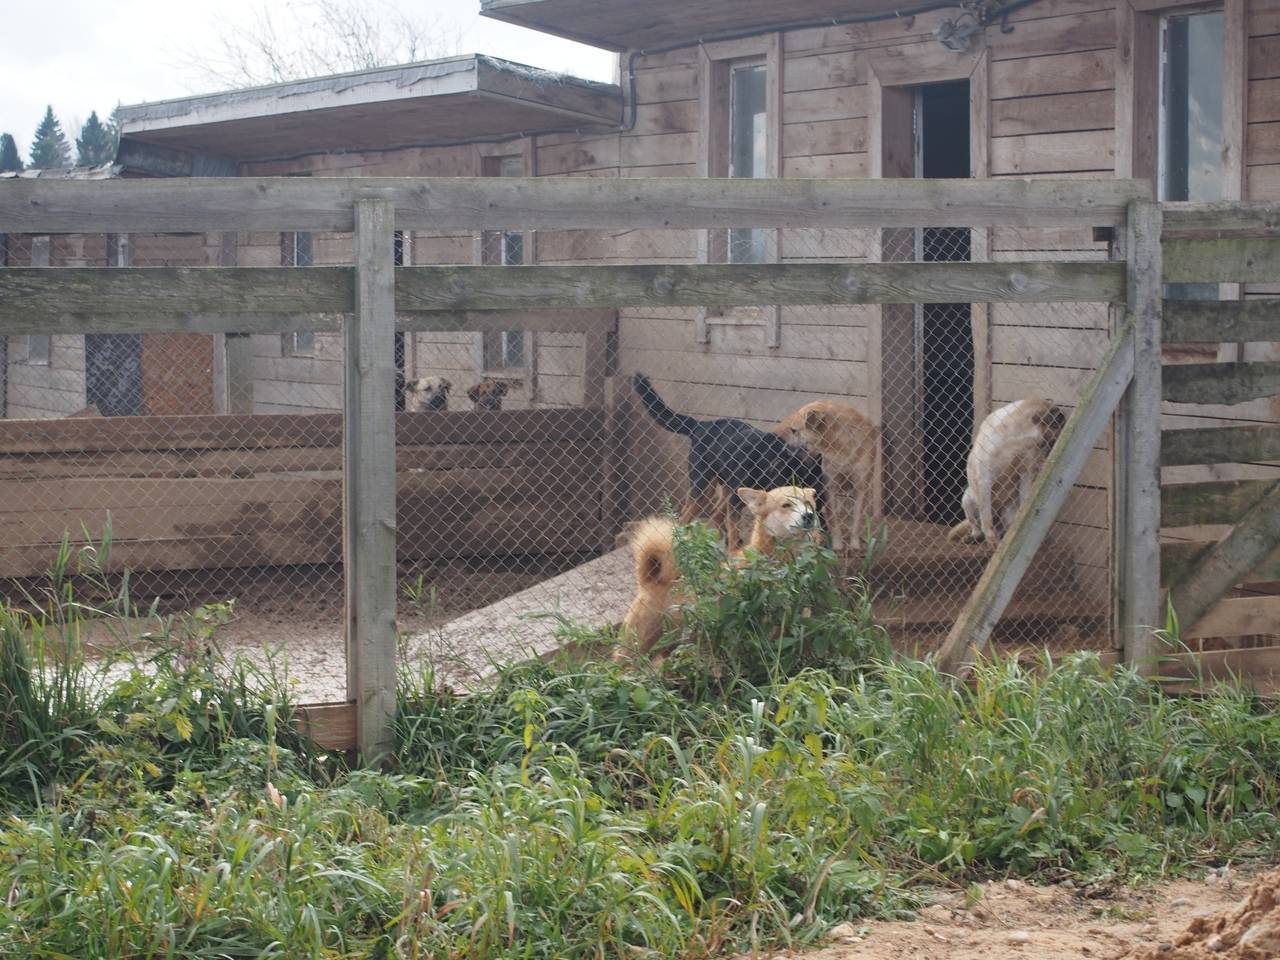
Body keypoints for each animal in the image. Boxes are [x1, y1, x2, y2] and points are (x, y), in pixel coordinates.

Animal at [632, 373, 829, 547]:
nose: (809, 515)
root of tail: (700, 425)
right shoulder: (738, 500)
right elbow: (735, 528)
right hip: (705, 488)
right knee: (686, 518)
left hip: (726, 489)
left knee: (716, 515)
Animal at [768, 401, 880, 555]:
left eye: (794, 430)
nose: (784, 449)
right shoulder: (830, 486)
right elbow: (834, 519)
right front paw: (837, 546)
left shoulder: (861, 487)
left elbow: (856, 521)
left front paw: (855, 546)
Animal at [947, 399, 1064, 547]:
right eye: (1054, 438)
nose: (1046, 458)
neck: (1016, 436)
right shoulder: (985, 479)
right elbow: (986, 517)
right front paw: (991, 539)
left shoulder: (1025, 473)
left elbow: (1024, 501)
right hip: (967, 499)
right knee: (977, 527)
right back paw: (975, 537)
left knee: (1003, 528)